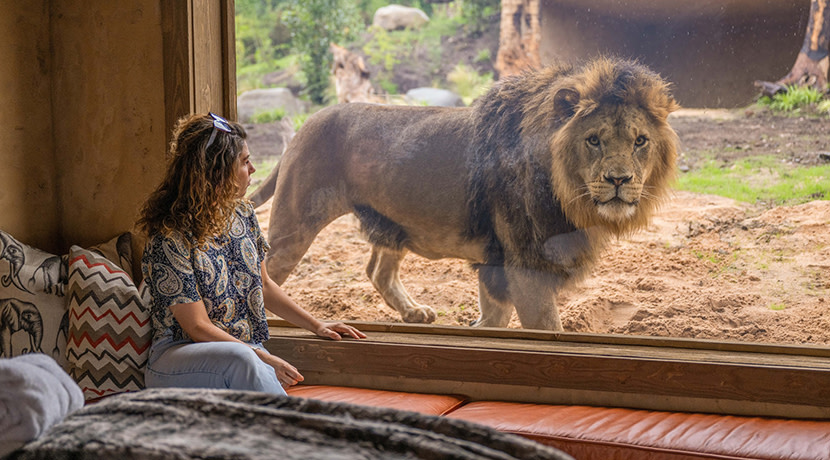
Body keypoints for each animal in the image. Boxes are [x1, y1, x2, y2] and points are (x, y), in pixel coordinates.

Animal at [250, 57, 680, 330]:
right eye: (593, 140)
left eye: (640, 141)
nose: (619, 179)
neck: (568, 196)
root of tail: (305, 125)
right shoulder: (525, 266)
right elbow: (545, 326)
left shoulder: (497, 262)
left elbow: (494, 319)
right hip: (295, 223)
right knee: (267, 273)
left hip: (392, 224)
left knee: (377, 270)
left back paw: (414, 313)